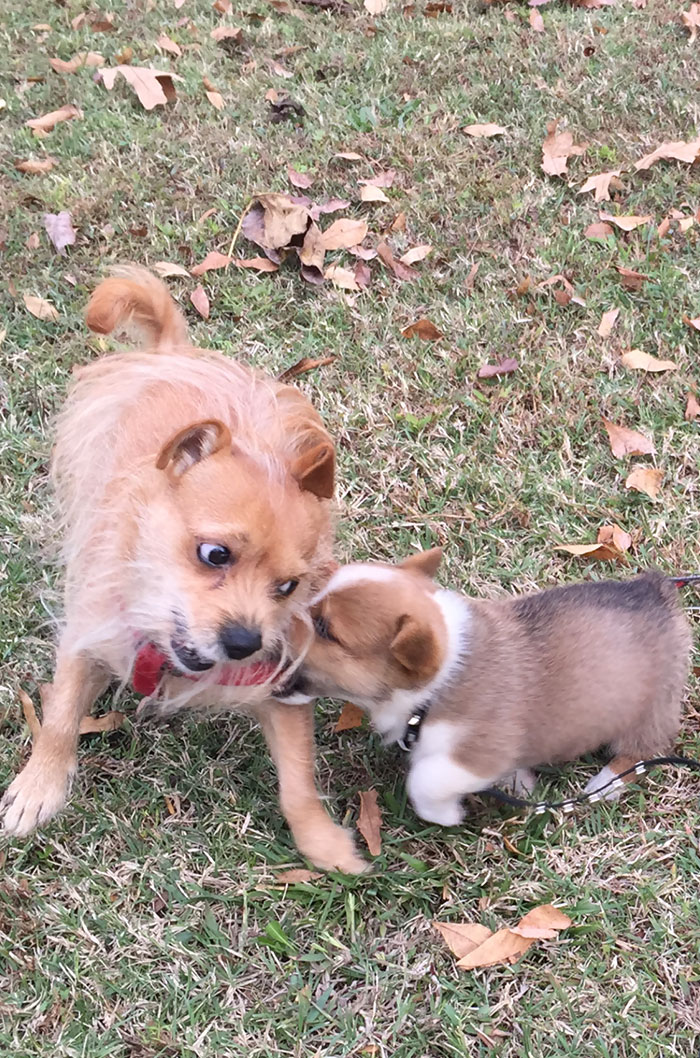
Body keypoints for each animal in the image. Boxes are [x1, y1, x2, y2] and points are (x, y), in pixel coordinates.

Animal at [1, 266, 367, 876]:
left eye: (287, 587)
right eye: (215, 554)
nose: (243, 643)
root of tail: (177, 354)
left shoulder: (278, 683)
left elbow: (298, 781)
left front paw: (323, 842)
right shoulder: (88, 630)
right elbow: (60, 718)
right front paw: (40, 786)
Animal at [277, 550, 693, 829]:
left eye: (326, 629)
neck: (433, 690)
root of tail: (657, 591)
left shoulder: (480, 751)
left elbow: (425, 778)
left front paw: (446, 814)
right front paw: (522, 784)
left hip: (653, 708)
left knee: (642, 752)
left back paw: (605, 784)